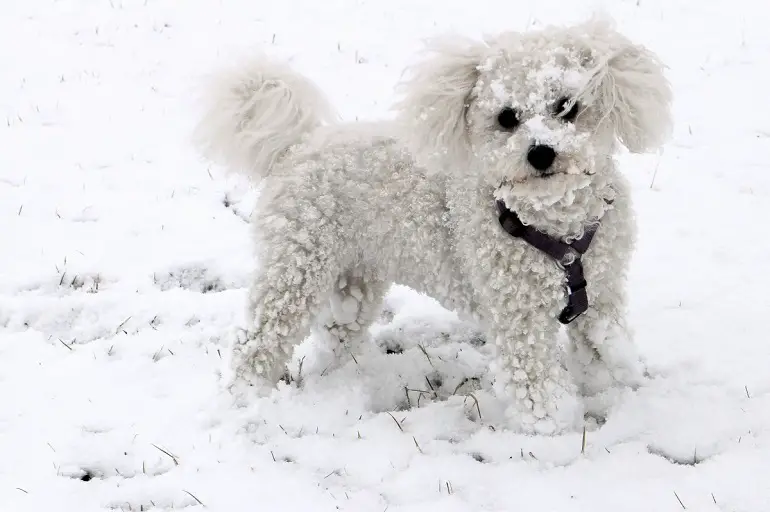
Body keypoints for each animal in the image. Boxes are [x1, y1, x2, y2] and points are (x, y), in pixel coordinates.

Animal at [195, 19, 668, 432]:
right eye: (507, 117)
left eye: (567, 107)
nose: (540, 153)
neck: (555, 227)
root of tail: (299, 145)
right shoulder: (518, 317)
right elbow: (534, 380)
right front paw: (553, 429)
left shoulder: (602, 295)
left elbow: (600, 349)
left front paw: (608, 392)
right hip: (295, 268)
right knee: (257, 339)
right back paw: (245, 395)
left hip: (355, 275)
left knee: (338, 332)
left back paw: (349, 380)